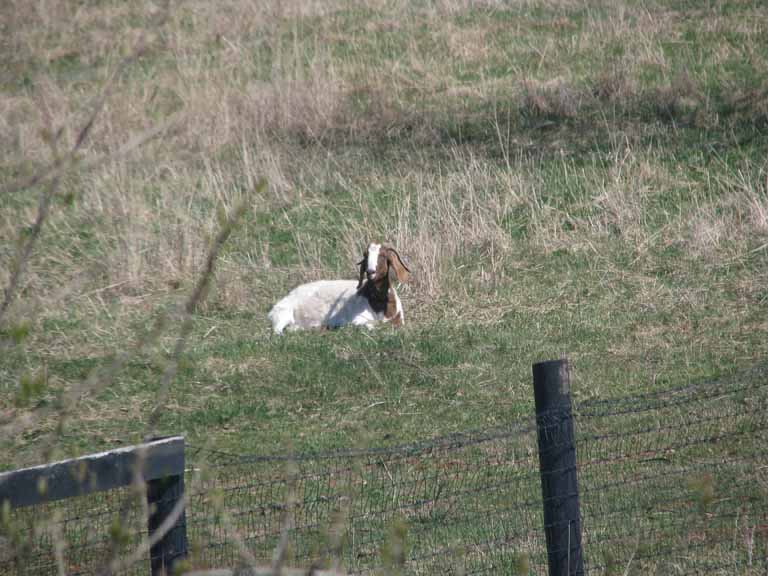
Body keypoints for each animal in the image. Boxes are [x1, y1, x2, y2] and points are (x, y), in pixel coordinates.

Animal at [272, 242, 414, 332]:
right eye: (366, 256)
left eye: (383, 256)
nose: (370, 272)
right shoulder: (358, 320)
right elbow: (372, 326)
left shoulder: (399, 320)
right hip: (283, 314)